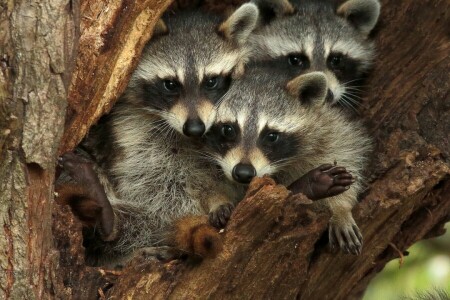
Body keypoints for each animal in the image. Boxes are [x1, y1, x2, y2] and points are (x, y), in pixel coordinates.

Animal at [205, 65, 372, 253]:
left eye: (271, 136)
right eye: (228, 130)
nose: (243, 172)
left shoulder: (326, 124)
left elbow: (346, 150)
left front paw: (341, 209)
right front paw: (217, 199)